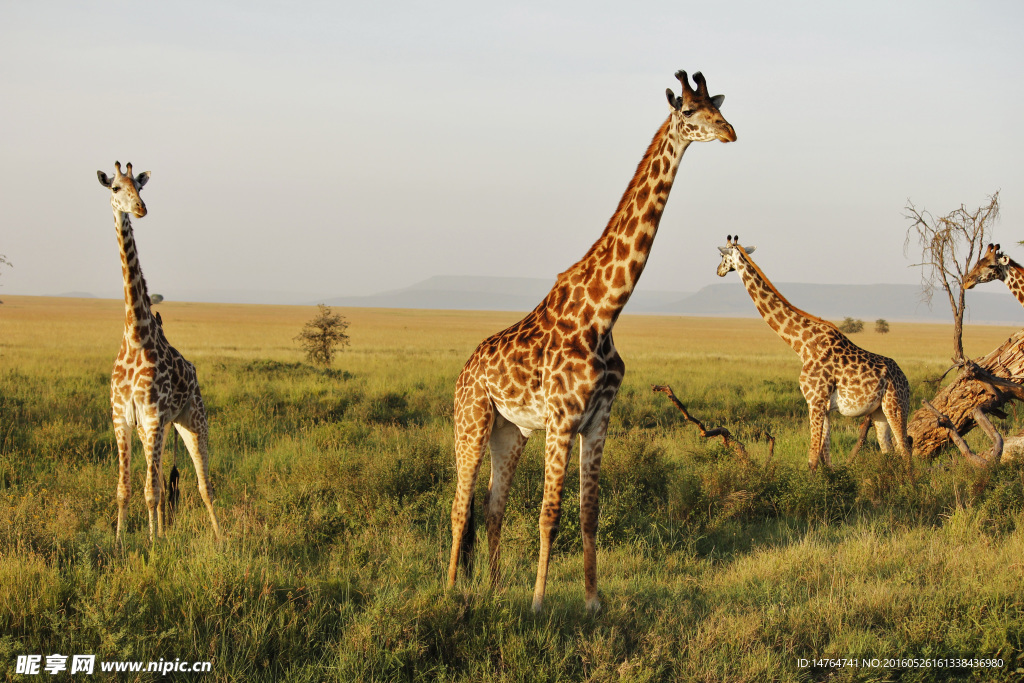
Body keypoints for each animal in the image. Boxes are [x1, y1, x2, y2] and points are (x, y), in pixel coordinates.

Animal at [96, 161, 223, 544]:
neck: (137, 335)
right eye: (115, 188)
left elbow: (150, 491)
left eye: (139, 187)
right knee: (163, 480)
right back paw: (162, 531)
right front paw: (121, 542)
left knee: (204, 485)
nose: (140, 208)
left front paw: (153, 545)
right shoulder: (123, 418)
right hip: (159, 429)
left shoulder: (153, 416)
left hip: (192, 418)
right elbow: (126, 488)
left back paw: (221, 539)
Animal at [448, 70, 737, 614]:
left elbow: (588, 512)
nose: (730, 132)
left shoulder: (599, 418)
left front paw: (593, 602)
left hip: (510, 431)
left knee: (493, 507)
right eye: (690, 111)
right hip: (471, 420)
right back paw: (451, 589)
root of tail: (465, 370)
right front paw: (539, 604)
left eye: (719, 105)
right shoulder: (562, 419)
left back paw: (494, 590)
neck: (603, 314)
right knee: (459, 505)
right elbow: (550, 513)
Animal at [716, 237, 917, 473]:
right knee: (889, 451)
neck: (802, 345)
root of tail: (905, 379)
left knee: (905, 450)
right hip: (879, 412)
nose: (718, 271)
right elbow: (826, 459)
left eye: (721, 256)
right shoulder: (825, 406)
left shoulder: (814, 400)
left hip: (896, 405)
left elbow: (812, 459)